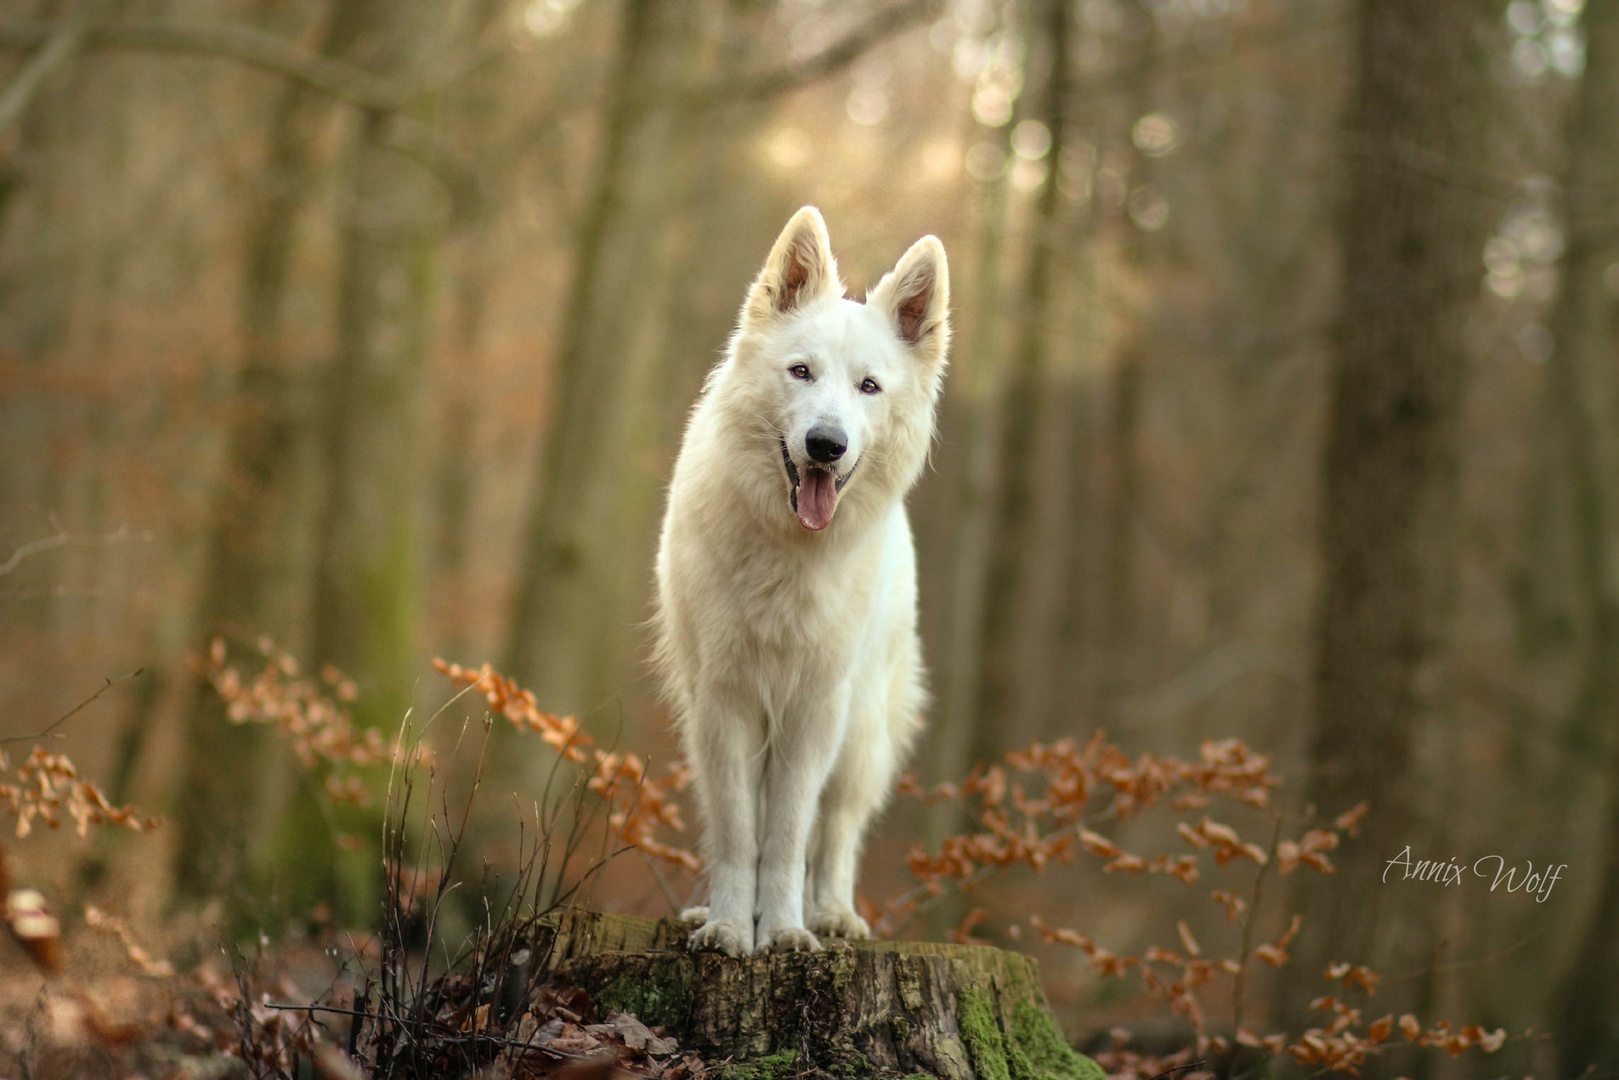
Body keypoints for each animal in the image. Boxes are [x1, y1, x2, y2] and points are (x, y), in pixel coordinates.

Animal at [652, 207, 950, 956]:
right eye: (801, 373)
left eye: (868, 387)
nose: (825, 444)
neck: (788, 551)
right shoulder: (725, 703)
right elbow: (739, 832)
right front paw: (732, 926)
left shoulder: (815, 711)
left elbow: (789, 836)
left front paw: (783, 929)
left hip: (861, 734)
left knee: (837, 831)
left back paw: (832, 915)